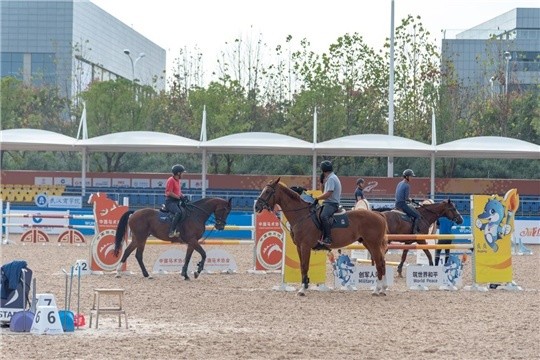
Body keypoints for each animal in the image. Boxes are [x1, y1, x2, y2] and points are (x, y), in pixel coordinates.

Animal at [253, 177, 388, 296]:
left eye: (268, 191)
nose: (256, 206)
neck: (302, 215)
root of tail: (378, 214)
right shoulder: (299, 247)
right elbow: (302, 266)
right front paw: (305, 285)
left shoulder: (305, 246)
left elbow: (305, 266)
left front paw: (302, 289)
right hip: (367, 243)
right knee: (382, 262)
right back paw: (382, 289)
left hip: (373, 244)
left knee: (379, 263)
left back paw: (377, 290)